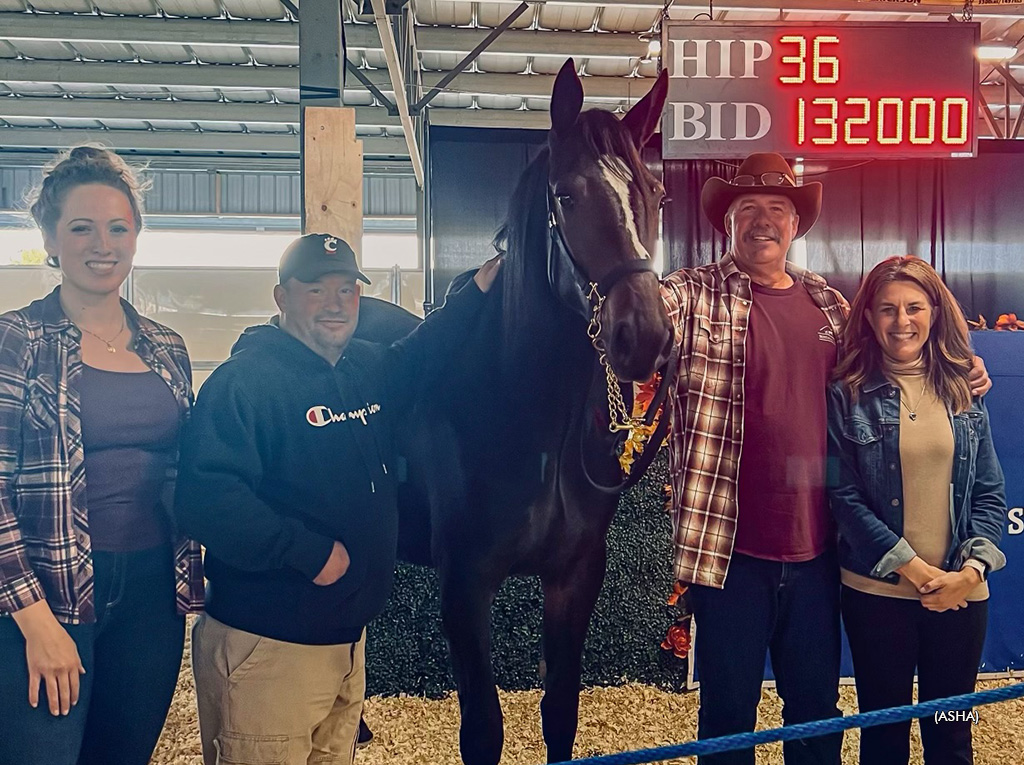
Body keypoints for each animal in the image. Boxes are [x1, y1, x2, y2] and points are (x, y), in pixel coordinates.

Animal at [358, 61, 671, 765]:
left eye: (656, 193)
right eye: (565, 197)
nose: (644, 334)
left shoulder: (575, 577)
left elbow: (560, 713)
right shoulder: (464, 584)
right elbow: (483, 729)